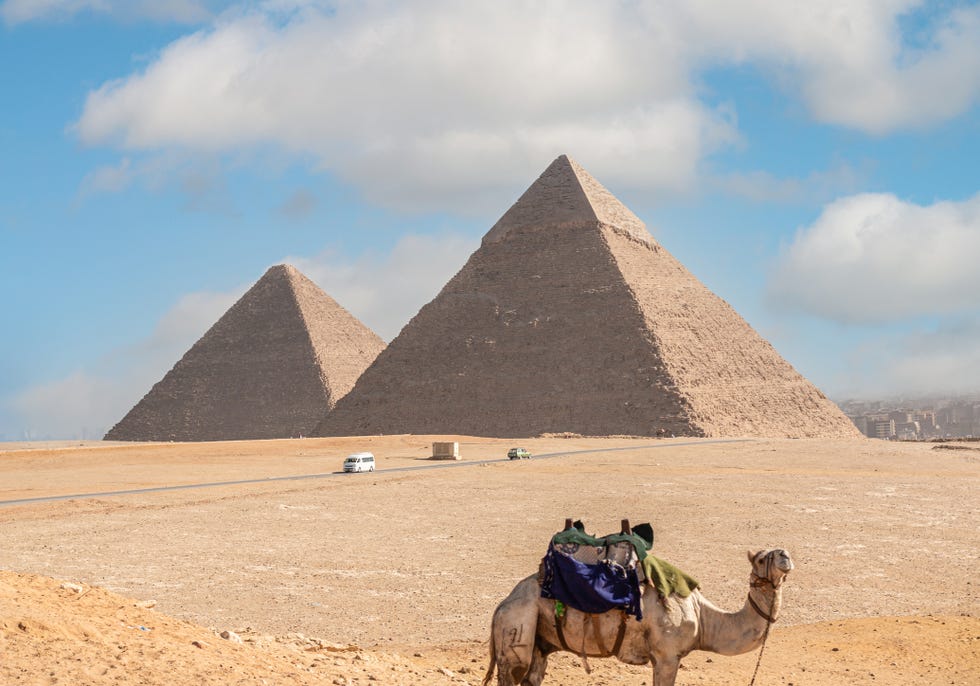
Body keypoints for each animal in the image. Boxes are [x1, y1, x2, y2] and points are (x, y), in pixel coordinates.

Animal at [486, 548, 792, 686]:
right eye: (762, 558)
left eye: (778, 551)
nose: (785, 556)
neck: (703, 617)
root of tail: (501, 605)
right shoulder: (667, 655)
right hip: (517, 625)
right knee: (514, 672)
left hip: (538, 636)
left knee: (533, 676)